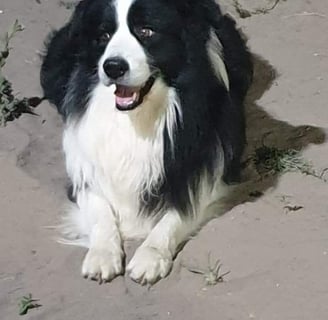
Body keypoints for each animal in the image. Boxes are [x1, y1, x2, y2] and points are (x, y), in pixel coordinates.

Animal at [39, 0, 252, 284]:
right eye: (104, 36)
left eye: (146, 31)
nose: (112, 67)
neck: (137, 118)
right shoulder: (84, 172)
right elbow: (100, 210)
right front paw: (102, 254)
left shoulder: (208, 174)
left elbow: (177, 214)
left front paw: (150, 256)